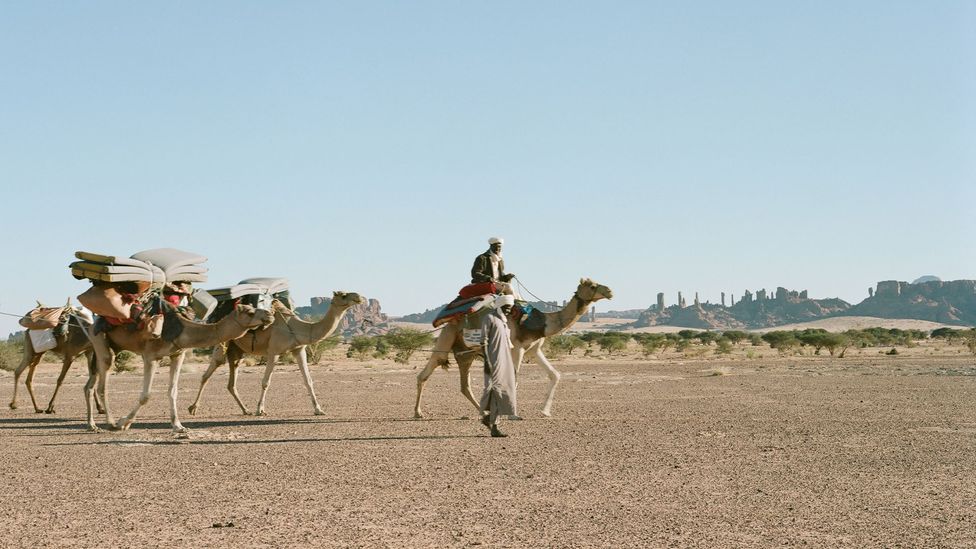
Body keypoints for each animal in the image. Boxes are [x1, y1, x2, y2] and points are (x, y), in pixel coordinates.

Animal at [83, 302, 272, 430]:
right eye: (250, 312)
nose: (269, 314)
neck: (182, 331)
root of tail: (92, 323)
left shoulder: (177, 354)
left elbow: (173, 390)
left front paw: (178, 426)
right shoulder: (150, 355)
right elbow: (146, 395)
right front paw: (124, 422)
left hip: (108, 346)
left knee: (89, 385)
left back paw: (93, 425)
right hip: (99, 340)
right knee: (102, 384)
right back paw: (111, 423)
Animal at [187, 292, 366, 416]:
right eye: (343, 295)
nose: (359, 297)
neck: (297, 327)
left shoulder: (299, 350)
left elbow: (308, 381)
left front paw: (319, 409)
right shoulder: (274, 351)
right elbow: (266, 382)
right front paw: (260, 410)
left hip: (237, 351)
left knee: (231, 382)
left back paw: (245, 410)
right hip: (222, 344)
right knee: (207, 374)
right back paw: (193, 408)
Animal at [416, 276, 612, 418]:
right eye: (592, 286)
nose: (610, 291)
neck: (538, 323)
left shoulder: (533, 349)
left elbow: (555, 375)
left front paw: (545, 411)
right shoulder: (516, 348)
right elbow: (515, 380)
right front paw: (513, 414)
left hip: (466, 353)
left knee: (465, 386)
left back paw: (484, 411)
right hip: (447, 336)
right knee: (427, 371)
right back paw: (418, 413)